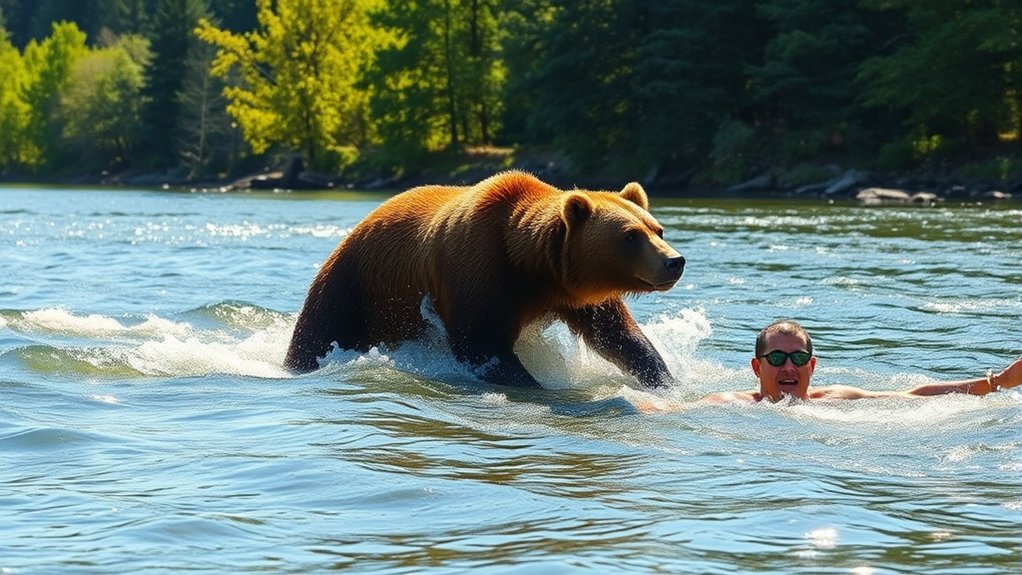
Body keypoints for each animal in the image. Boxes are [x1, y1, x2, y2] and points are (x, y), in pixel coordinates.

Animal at [284, 171, 685, 389]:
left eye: (657, 228)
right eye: (630, 236)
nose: (674, 261)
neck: (531, 267)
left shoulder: (576, 293)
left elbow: (620, 336)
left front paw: (667, 379)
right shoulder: (478, 270)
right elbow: (482, 344)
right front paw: (536, 384)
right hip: (355, 285)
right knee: (320, 332)